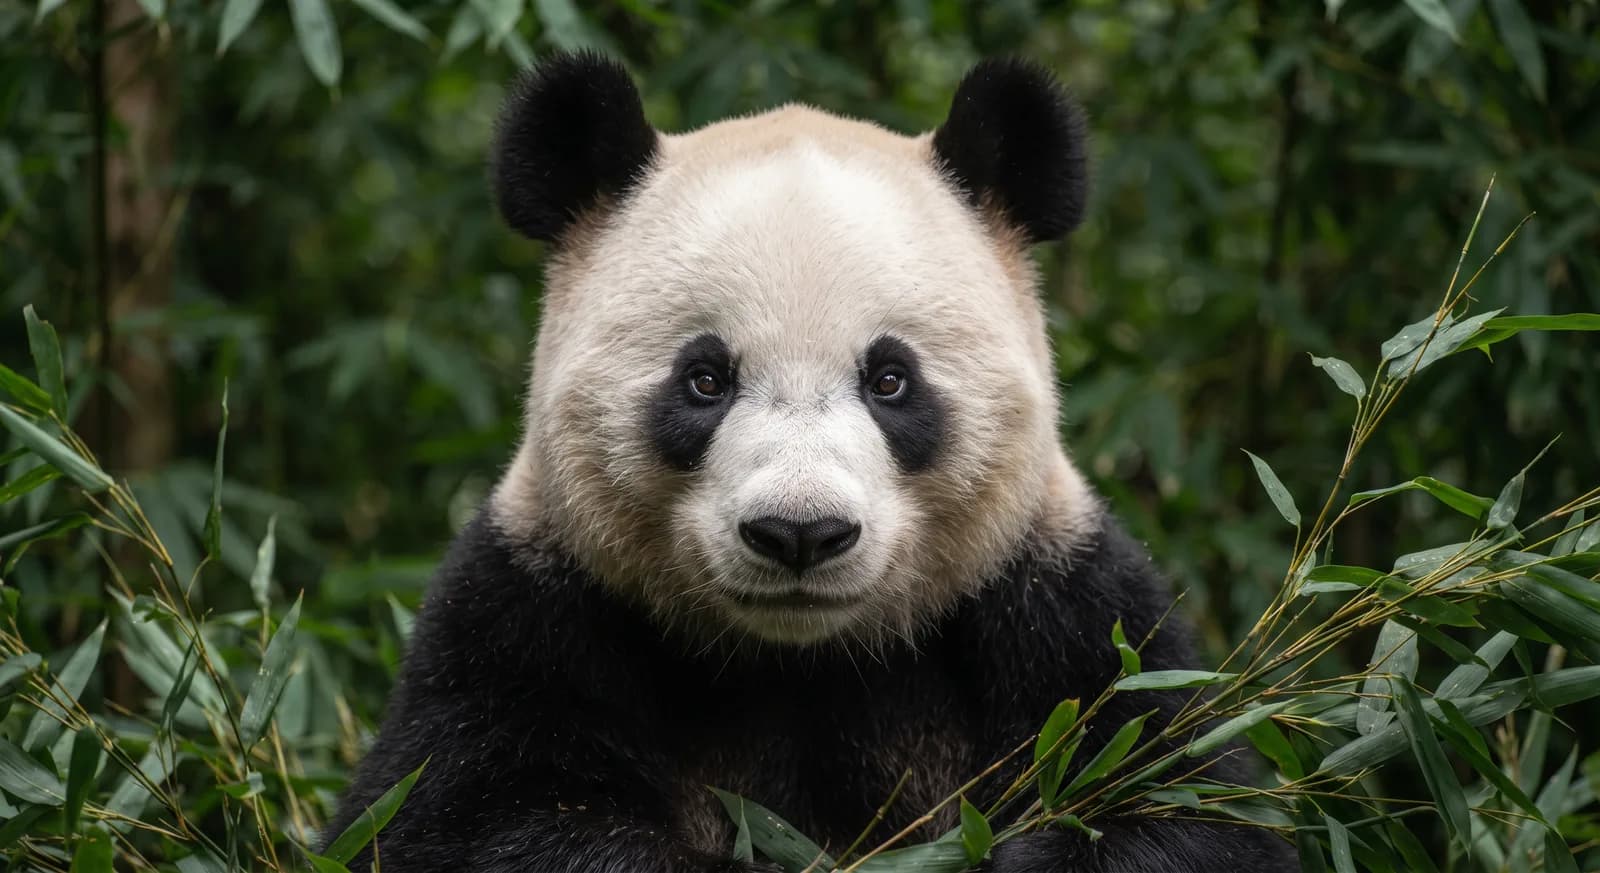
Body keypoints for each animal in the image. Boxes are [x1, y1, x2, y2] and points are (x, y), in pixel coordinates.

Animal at [326, 52, 1296, 873]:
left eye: (891, 379)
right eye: (705, 378)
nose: (800, 533)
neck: (804, 659)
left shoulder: (1066, 614)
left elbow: (1182, 806)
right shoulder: (530, 612)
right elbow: (456, 820)